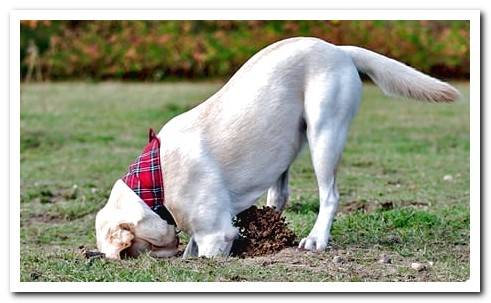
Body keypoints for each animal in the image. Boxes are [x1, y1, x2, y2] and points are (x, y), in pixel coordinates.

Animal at [96, 36, 462, 258]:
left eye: (131, 251)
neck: (152, 183)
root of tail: (338, 48)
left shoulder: (216, 234)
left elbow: (201, 252)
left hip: (324, 134)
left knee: (330, 195)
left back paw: (316, 239)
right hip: (285, 143)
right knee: (280, 194)